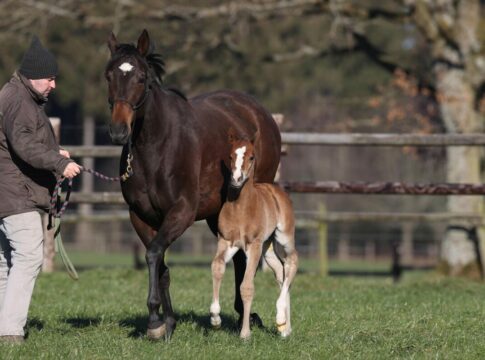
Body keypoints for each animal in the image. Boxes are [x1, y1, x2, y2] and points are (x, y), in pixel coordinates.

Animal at [209, 136, 296, 338]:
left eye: (251, 157)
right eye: (230, 155)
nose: (236, 179)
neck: (241, 208)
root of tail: (277, 191)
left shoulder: (253, 245)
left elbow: (246, 287)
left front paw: (245, 333)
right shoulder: (226, 241)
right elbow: (217, 267)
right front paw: (215, 319)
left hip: (283, 238)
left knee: (292, 263)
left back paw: (280, 318)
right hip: (268, 247)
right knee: (280, 272)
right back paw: (285, 328)